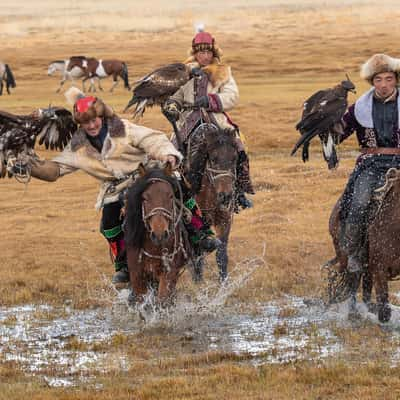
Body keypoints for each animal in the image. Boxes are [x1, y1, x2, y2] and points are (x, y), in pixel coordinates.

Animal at [125, 161, 188, 304]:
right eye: (144, 198)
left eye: (170, 196)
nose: (159, 235)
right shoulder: (137, 276)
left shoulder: (169, 272)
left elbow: (162, 300)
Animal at [185, 123, 238, 282]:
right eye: (213, 159)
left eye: (234, 158)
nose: (225, 196)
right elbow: (198, 255)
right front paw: (198, 282)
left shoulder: (225, 220)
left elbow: (221, 255)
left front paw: (224, 283)